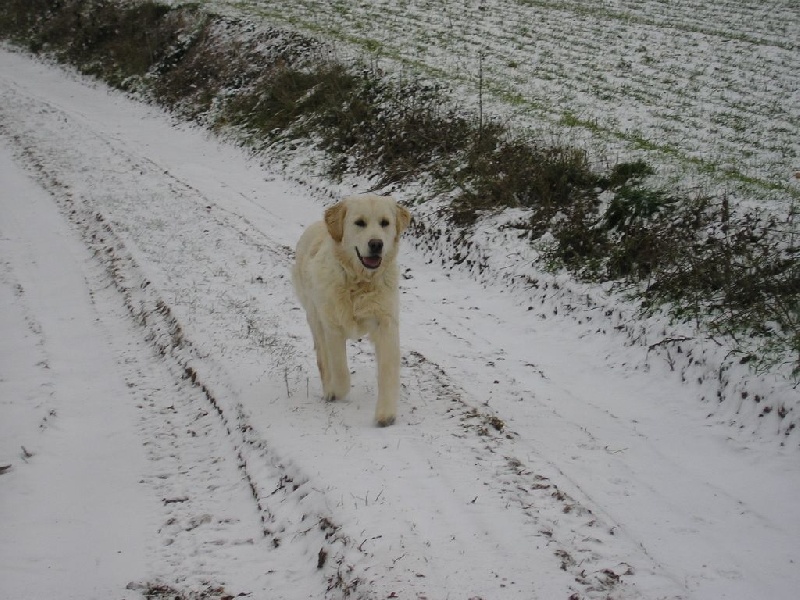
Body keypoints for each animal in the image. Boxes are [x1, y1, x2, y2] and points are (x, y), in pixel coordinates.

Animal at [292, 195, 410, 424]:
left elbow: (388, 370)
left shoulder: (386, 323)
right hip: (314, 316)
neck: (359, 282)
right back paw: (328, 389)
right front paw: (338, 391)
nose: (376, 244)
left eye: (385, 223)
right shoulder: (332, 326)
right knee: (323, 358)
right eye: (360, 223)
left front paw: (386, 413)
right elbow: (339, 369)